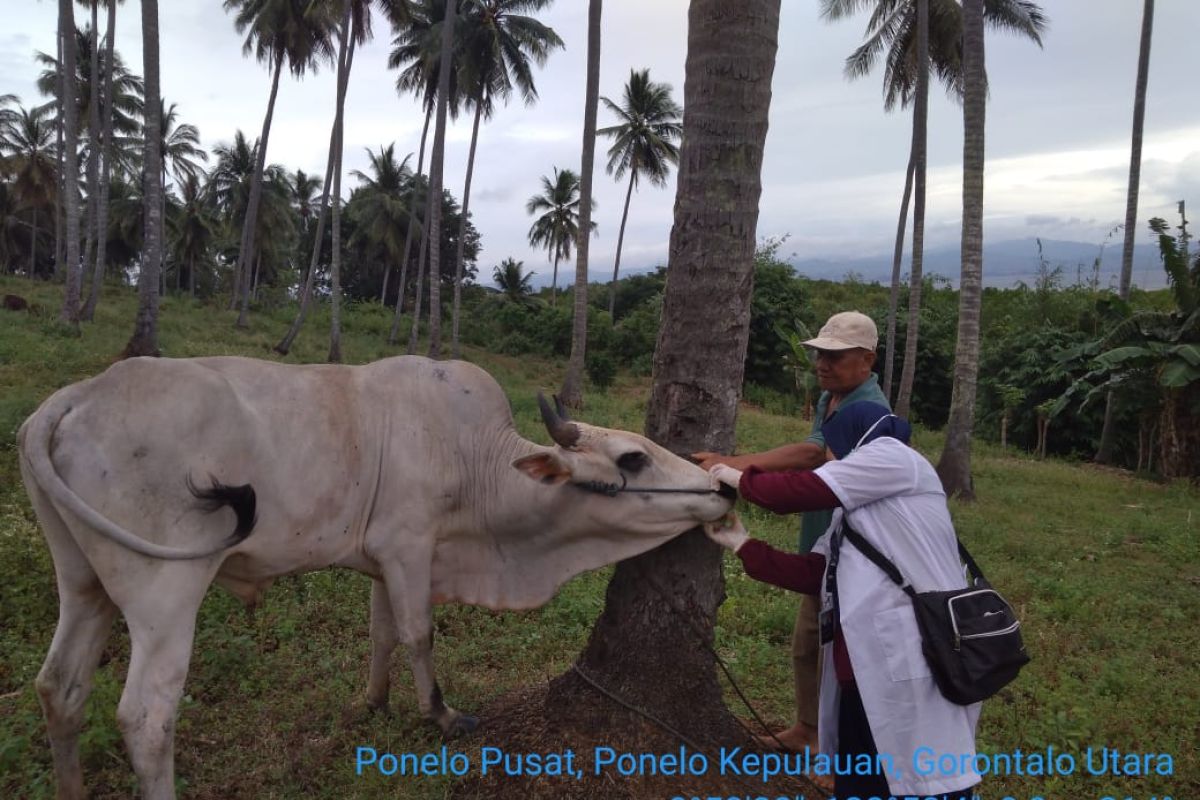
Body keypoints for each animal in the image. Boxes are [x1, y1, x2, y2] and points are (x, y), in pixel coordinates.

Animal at [16, 357, 729, 800]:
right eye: (632, 459)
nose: (722, 486)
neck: (480, 464)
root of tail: (77, 395)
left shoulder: (382, 560)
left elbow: (382, 634)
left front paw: (374, 703)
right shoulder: (409, 547)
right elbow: (419, 634)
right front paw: (442, 716)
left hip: (82, 584)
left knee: (59, 688)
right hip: (166, 592)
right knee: (146, 716)